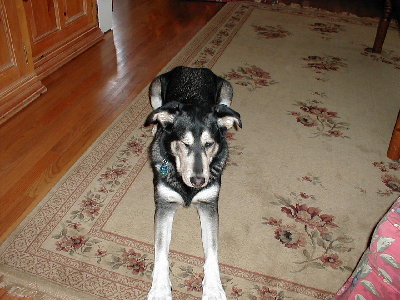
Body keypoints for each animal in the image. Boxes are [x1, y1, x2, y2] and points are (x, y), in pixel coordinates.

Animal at [145, 67, 242, 298]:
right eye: (184, 143)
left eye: (209, 144)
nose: (198, 180)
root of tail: (193, 69)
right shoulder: (165, 205)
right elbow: (160, 250)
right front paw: (160, 288)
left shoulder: (208, 205)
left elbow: (213, 250)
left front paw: (214, 288)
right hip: (155, 88)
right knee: (156, 112)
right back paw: (155, 126)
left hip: (227, 90)